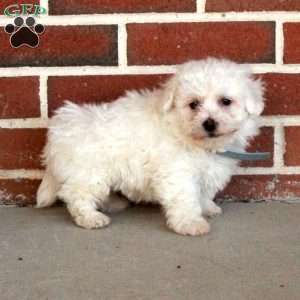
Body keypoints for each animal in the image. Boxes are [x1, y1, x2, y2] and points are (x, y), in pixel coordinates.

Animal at [37, 58, 264, 237]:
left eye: (226, 101)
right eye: (193, 104)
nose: (209, 123)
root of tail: (59, 130)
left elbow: (203, 191)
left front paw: (207, 207)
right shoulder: (177, 172)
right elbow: (185, 197)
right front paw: (190, 223)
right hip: (89, 172)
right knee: (76, 195)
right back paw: (91, 218)